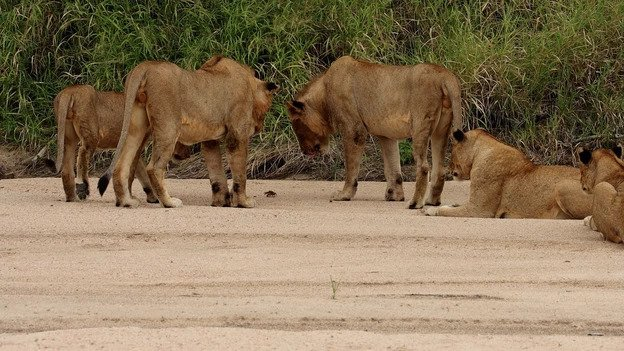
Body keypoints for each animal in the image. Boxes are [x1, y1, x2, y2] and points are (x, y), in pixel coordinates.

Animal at [53, 85, 190, 204]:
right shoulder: (138, 142)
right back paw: (82, 187)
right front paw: (131, 197)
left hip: (69, 139)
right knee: (82, 154)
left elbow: (141, 172)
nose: (187, 155)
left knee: (66, 168)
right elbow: (132, 171)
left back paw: (72, 197)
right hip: (91, 134)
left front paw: (152, 197)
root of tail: (70, 91)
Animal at [98, 55, 278, 209]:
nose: (260, 127)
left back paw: (127, 201)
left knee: (121, 165)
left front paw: (220, 202)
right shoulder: (237, 135)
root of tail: (146, 66)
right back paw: (169, 202)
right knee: (154, 168)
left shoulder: (209, 140)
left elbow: (216, 173)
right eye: (268, 108)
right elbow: (240, 173)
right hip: (168, 127)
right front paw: (244, 202)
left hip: (136, 127)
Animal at [288, 55, 464, 209]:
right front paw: (394, 195)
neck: (324, 91)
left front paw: (344, 195)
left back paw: (415, 203)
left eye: (296, 126)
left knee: (423, 166)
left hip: (420, 125)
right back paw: (431, 202)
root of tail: (444, 74)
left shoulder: (354, 130)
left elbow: (351, 167)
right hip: (440, 131)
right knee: (439, 169)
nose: (304, 151)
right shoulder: (386, 135)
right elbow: (392, 168)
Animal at [426, 129, 592, 220]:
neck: (480, 152)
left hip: (561, 186)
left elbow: (444, 210)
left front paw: (430, 209)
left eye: (452, 150)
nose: (449, 168)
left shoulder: (479, 210)